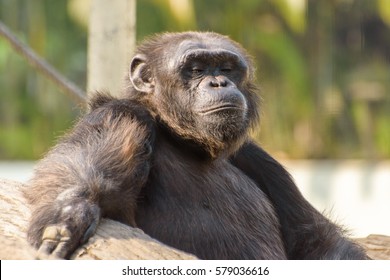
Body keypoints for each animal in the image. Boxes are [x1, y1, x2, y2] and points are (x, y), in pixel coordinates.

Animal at [23, 31, 366, 260]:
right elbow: (84, 169)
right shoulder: (118, 116)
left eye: (226, 68)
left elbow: (314, 236)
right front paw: (68, 216)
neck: (182, 138)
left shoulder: (261, 159)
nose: (219, 82)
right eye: (196, 69)